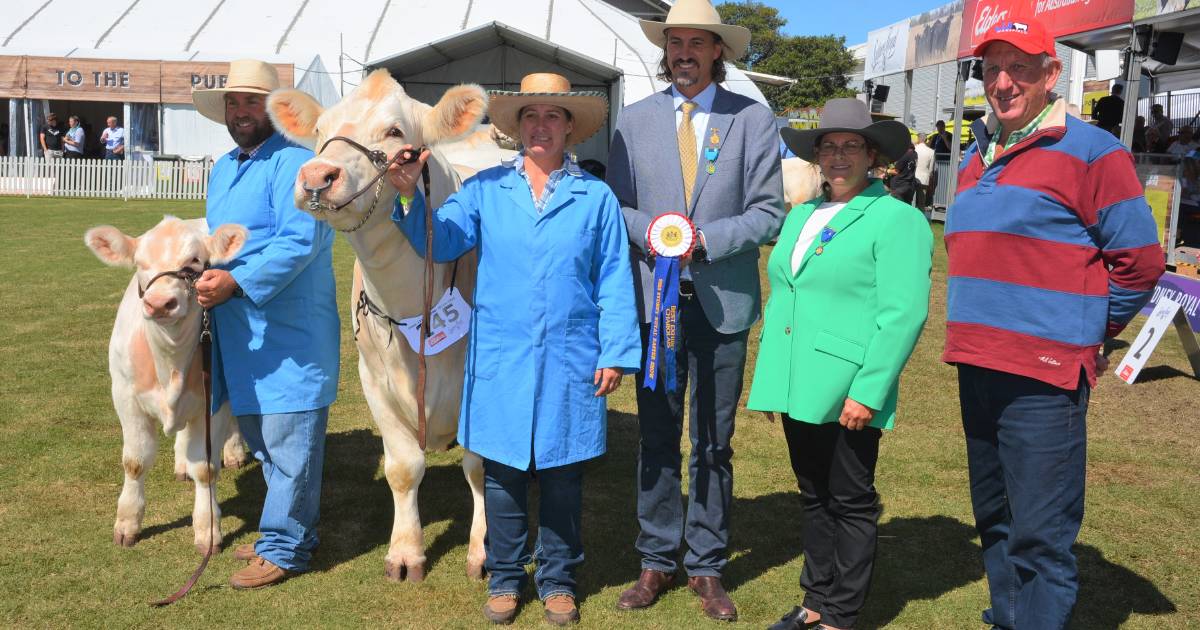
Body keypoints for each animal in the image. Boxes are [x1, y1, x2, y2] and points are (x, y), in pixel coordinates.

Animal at [88, 216, 250, 549]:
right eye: (139, 263)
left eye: (194, 262)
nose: (160, 303)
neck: (171, 364)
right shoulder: (125, 396)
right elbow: (135, 462)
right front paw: (127, 523)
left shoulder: (213, 399)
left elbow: (206, 468)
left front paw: (208, 529)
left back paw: (233, 452)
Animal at [265, 68, 484, 580]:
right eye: (320, 130)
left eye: (395, 131)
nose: (316, 176)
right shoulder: (373, 380)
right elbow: (402, 468)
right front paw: (405, 552)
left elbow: (481, 466)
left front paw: (483, 550)